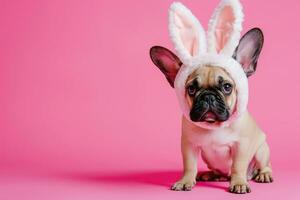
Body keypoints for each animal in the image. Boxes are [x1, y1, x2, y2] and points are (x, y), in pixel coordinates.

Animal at [149, 0, 274, 194]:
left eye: (227, 87)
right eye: (192, 89)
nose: (208, 97)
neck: (215, 126)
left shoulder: (242, 146)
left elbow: (238, 166)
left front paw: (239, 183)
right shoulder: (188, 145)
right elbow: (189, 165)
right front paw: (185, 181)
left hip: (262, 150)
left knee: (264, 164)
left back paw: (263, 174)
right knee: (220, 172)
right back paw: (211, 175)